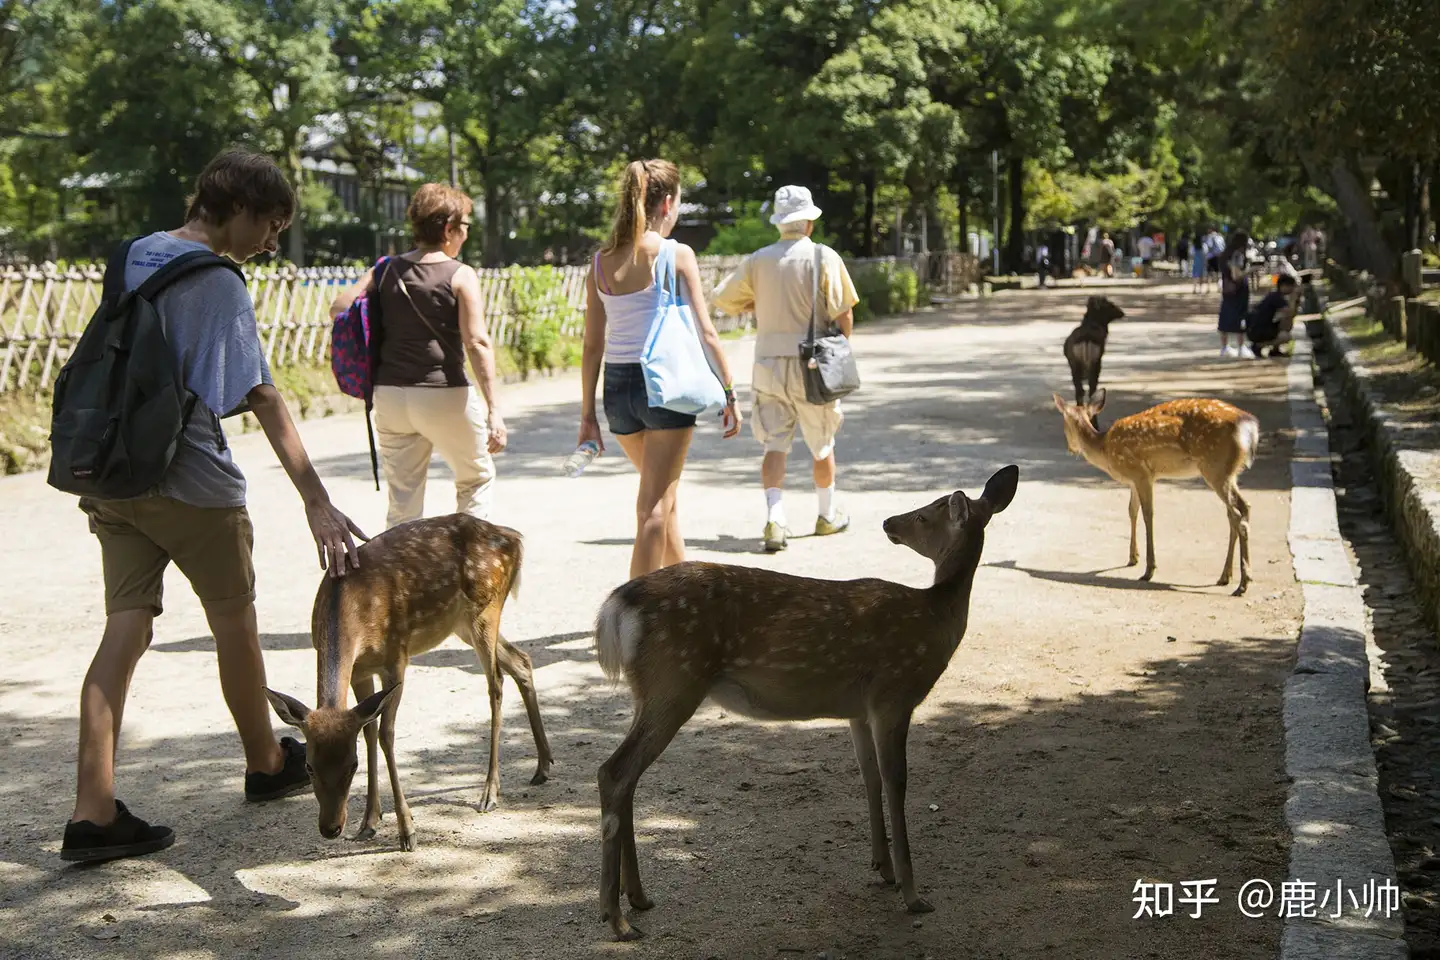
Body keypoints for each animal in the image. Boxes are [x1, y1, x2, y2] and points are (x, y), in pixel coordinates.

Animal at [264, 515, 550, 852]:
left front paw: (407, 831)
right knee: (522, 661)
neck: (352, 608)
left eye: (352, 766)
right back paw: (543, 766)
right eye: (309, 766)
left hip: (486, 609)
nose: (331, 828)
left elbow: (386, 735)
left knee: (496, 683)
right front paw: (368, 822)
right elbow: (368, 731)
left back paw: (490, 793)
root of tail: (514, 538)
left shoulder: (395, 657)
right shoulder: (361, 670)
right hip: (461, 624)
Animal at [590, 463, 1019, 938]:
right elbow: (897, 782)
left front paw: (883, 869)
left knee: (626, 776)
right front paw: (912, 894)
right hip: (675, 680)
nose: (889, 522)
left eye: (925, 514)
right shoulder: (893, 693)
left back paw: (639, 898)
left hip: (649, 689)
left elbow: (869, 776)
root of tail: (616, 607)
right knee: (614, 772)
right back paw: (616, 919)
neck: (935, 619)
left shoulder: (859, 709)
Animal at [1054, 391, 1255, 592]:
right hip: (1230, 472)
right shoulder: (1134, 480)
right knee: (1236, 513)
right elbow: (1132, 510)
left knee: (1239, 512)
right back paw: (1225, 577)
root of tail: (1248, 426)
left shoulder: (1142, 473)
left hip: (1215, 467)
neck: (1105, 449)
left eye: (1064, 423)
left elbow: (1147, 514)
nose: (1070, 448)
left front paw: (1149, 569)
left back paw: (1243, 584)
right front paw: (1133, 558)